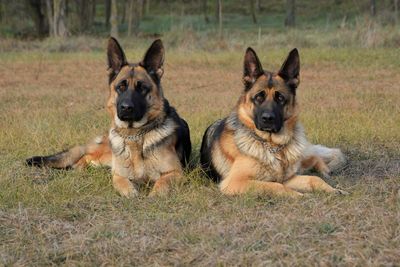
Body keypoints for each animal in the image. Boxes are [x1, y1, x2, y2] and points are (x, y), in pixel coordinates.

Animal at [27, 38, 192, 199]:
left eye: (142, 88)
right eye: (121, 87)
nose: (126, 108)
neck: (134, 136)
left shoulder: (176, 173)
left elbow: (162, 184)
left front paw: (154, 195)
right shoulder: (118, 174)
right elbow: (122, 184)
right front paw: (131, 193)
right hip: (105, 157)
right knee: (86, 156)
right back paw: (78, 168)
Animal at [200, 47, 346, 197]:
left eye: (280, 98)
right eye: (259, 97)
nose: (268, 119)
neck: (273, 146)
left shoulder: (288, 177)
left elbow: (314, 179)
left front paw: (333, 189)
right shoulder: (235, 182)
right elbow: (276, 186)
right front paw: (299, 195)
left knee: (314, 158)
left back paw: (325, 169)